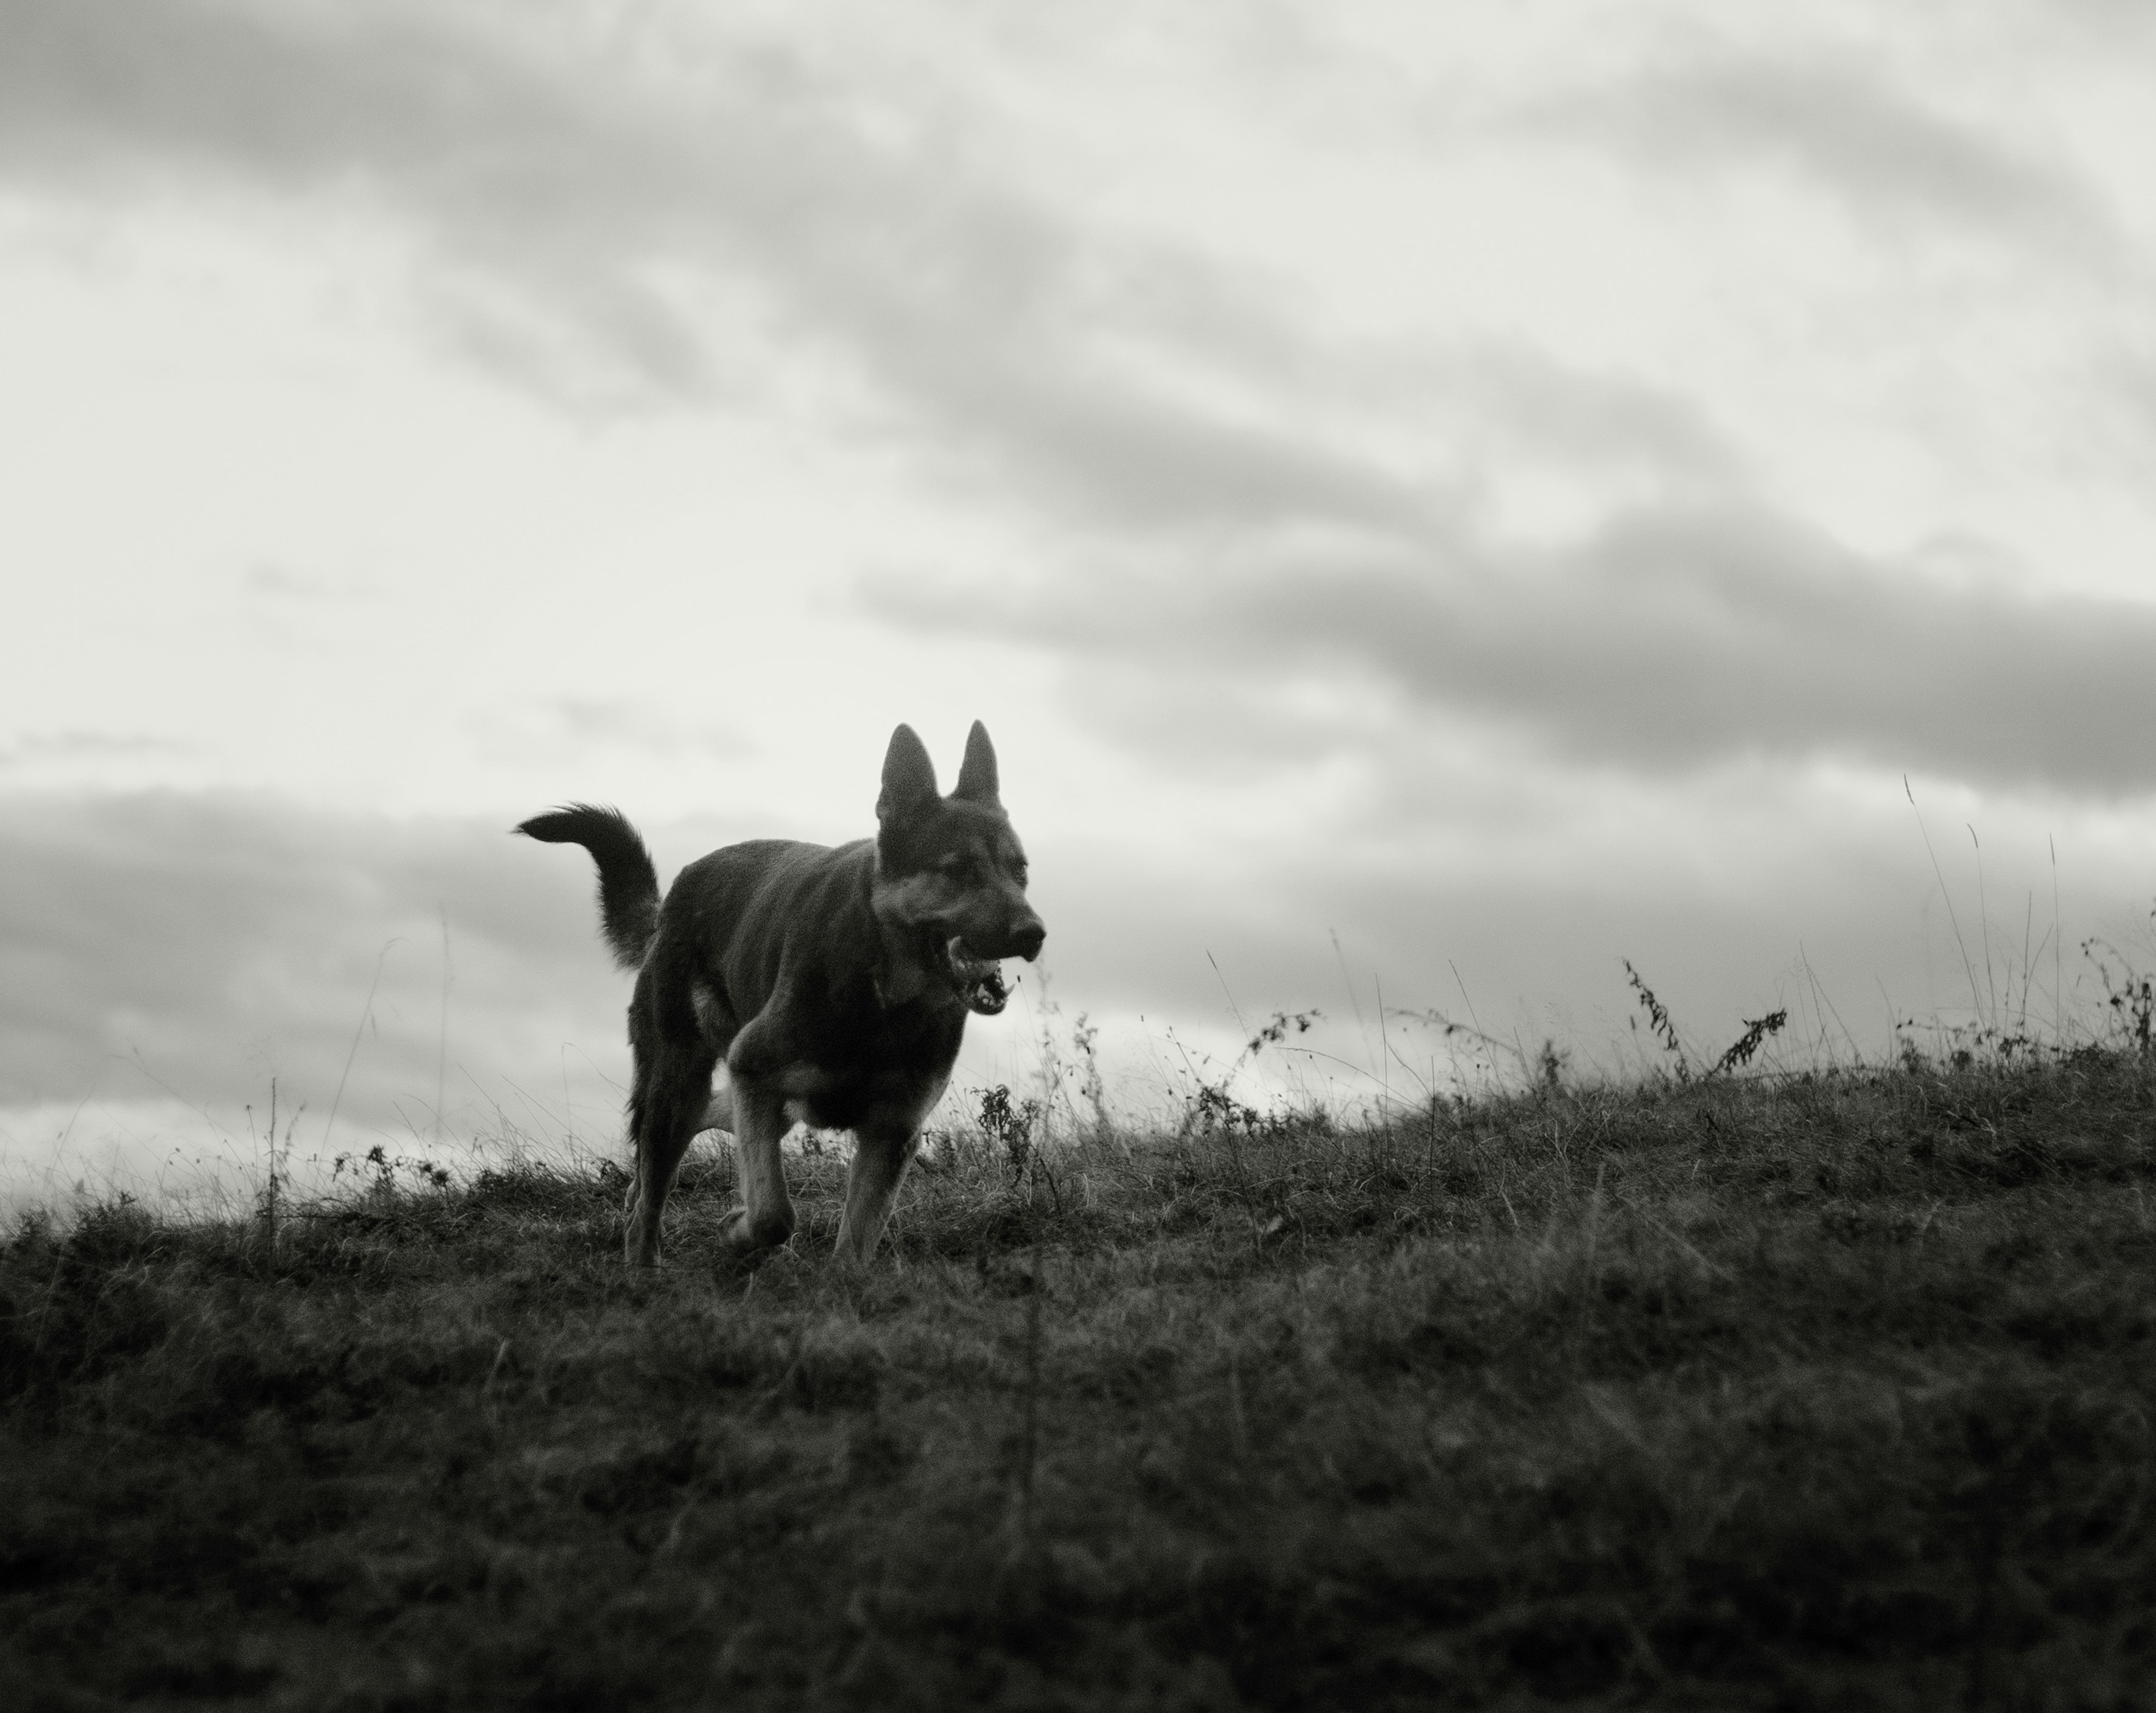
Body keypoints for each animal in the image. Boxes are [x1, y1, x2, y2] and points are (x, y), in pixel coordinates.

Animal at [513, 715, 1035, 1267]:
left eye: (1021, 870)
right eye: (956, 870)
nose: (1034, 933)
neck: (883, 1000)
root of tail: (669, 904)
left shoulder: (891, 1132)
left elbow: (853, 1250)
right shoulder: (757, 1071)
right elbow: (773, 1214)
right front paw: (736, 1231)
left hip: (751, 1103)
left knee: (703, 1118)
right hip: (683, 1082)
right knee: (653, 1191)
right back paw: (641, 1264)